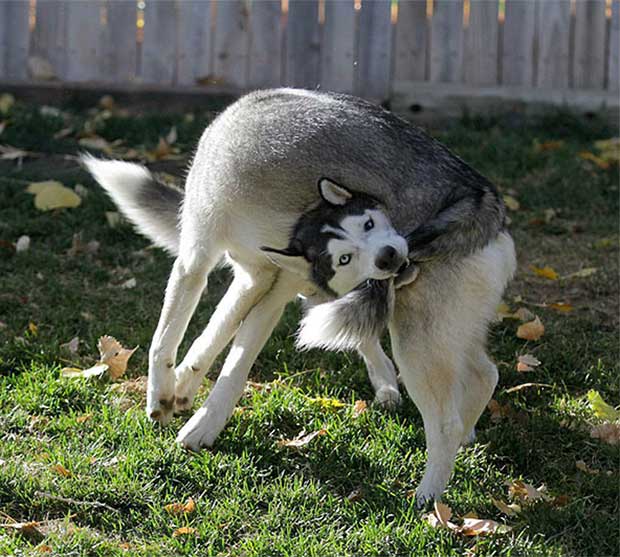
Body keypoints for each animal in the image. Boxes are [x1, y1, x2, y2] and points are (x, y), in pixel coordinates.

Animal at [85, 87, 516, 504]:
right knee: (483, 373)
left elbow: (182, 347)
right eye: (344, 255)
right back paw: (450, 430)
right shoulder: (255, 278)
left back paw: (428, 497)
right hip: (423, 326)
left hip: (414, 343)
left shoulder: (220, 268)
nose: (392, 256)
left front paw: (176, 406)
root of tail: (489, 205)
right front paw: (184, 390)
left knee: (445, 421)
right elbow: (210, 338)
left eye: (370, 224)